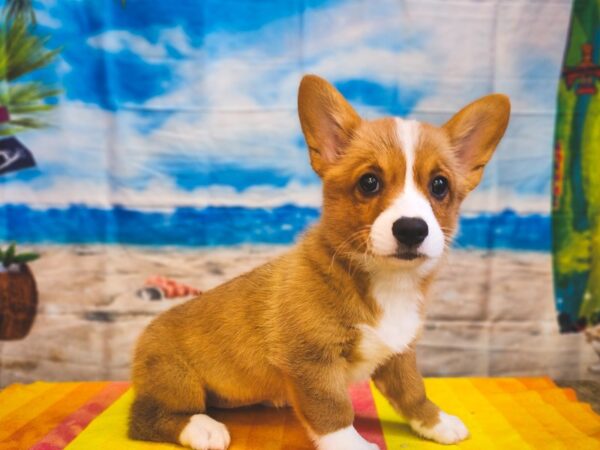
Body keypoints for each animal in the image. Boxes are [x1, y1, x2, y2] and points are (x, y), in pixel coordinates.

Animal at [129, 74, 508, 450]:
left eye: (440, 185)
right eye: (369, 182)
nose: (412, 229)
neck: (384, 282)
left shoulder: (399, 354)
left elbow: (413, 391)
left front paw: (436, 422)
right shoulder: (311, 360)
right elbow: (333, 410)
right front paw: (352, 445)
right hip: (178, 381)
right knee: (144, 419)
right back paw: (202, 428)